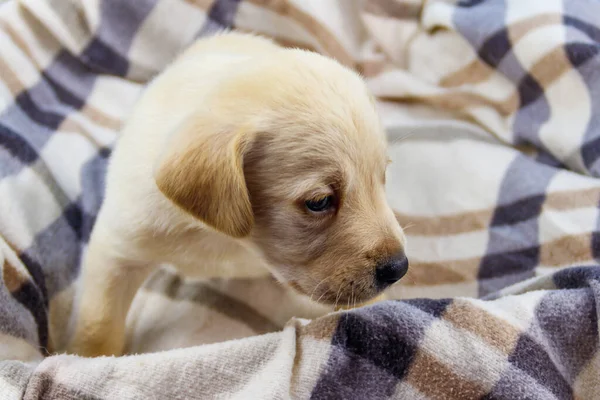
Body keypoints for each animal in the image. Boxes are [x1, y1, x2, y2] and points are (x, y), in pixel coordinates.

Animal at [68, 32, 410, 356]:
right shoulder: (118, 248)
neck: (232, 241)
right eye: (319, 202)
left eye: (381, 179)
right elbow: (98, 323)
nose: (399, 268)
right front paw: (88, 360)